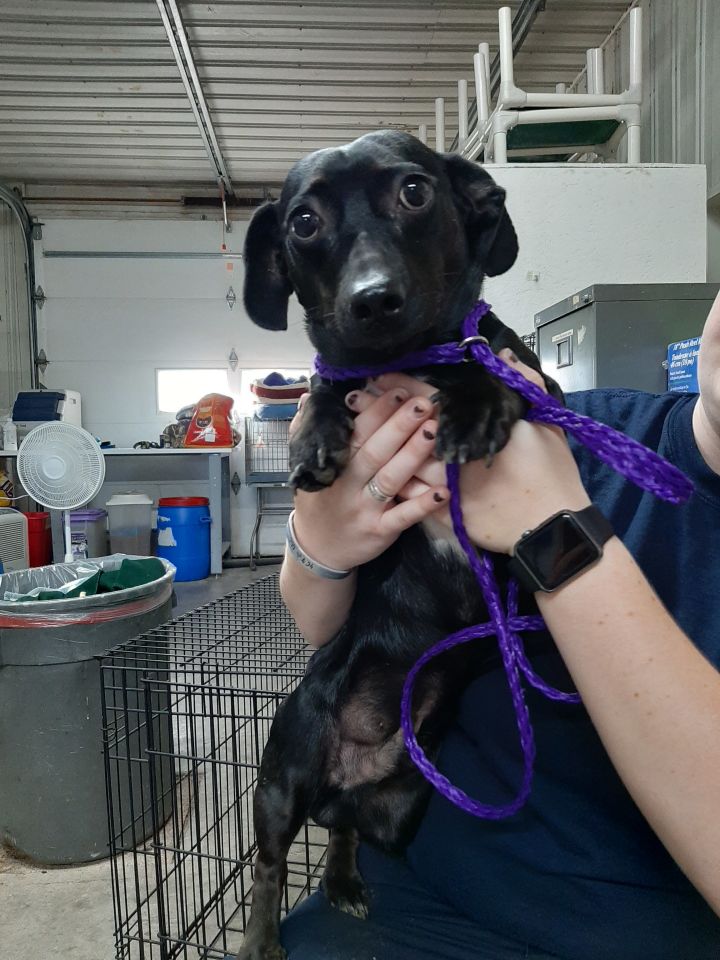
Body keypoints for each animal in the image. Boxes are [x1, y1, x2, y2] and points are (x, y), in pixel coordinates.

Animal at [238, 129, 564, 960]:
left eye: (415, 191)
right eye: (304, 222)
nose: (372, 298)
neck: (411, 363)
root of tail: (354, 764)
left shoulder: (539, 386)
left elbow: (489, 358)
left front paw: (475, 403)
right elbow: (325, 382)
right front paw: (316, 433)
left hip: (403, 807)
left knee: (345, 829)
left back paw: (346, 882)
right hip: (283, 774)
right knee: (270, 863)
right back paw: (258, 939)